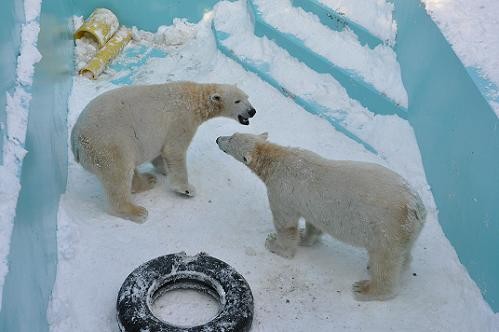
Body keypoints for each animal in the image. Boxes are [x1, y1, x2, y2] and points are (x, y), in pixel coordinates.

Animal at [70, 80, 256, 223]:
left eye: (247, 97)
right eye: (237, 101)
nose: (252, 111)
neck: (194, 99)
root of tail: (75, 141)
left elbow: (160, 154)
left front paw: (164, 170)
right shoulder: (180, 121)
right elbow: (175, 151)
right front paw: (186, 189)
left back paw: (148, 180)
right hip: (109, 145)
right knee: (118, 175)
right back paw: (137, 211)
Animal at [217, 132, 428, 300]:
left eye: (231, 139)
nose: (218, 138)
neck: (277, 159)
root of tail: (417, 207)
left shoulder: (282, 190)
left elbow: (285, 224)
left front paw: (274, 243)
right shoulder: (310, 203)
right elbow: (313, 224)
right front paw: (304, 236)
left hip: (387, 229)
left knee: (384, 263)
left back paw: (365, 289)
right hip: (405, 233)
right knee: (402, 255)